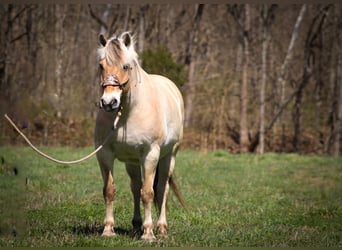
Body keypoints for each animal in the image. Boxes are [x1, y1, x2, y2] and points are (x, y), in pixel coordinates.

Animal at [94, 31, 184, 242]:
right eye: (101, 65)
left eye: (126, 66)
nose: (109, 102)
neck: (128, 112)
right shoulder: (104, 154)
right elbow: (110, 191)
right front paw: (108, 229)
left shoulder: (151, 154)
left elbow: (149, 193)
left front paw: (148, 233)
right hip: (132, 162)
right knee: (135, 187)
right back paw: (136, 226)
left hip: (168, 157)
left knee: (162, 189)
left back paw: (161, 229)